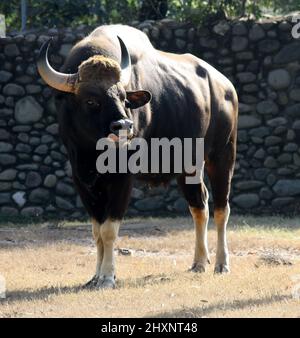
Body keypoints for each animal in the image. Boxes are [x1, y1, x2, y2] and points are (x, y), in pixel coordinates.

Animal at [38, 24, 239, 288]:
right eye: (91, 100)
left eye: (124, 98)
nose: (124, 125)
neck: (93, 152)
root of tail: (226, 86)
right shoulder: (82, 178)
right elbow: (96, 231)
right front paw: (95, 276)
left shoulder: (123, 177)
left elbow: (109, 230)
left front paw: (107, 277)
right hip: (189, 166)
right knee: (199, 205)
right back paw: (199, 262)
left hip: (222, 155)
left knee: (221, 208)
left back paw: (221, 264)